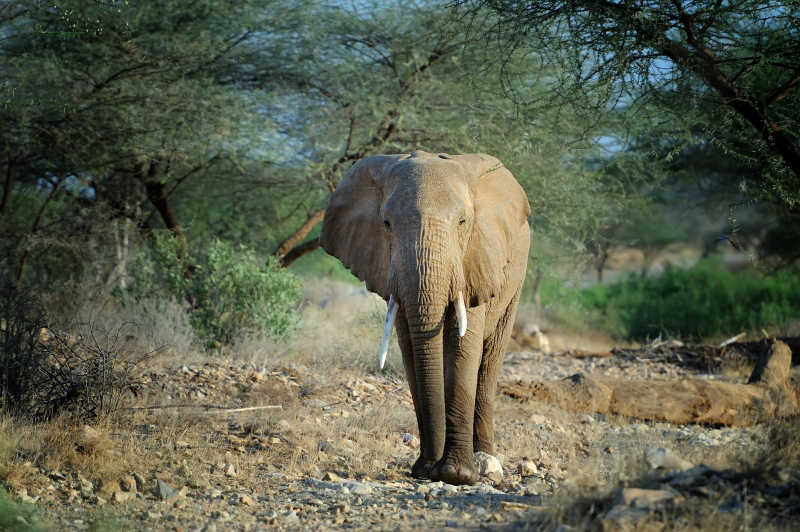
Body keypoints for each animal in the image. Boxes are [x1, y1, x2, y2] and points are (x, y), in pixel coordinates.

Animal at [318, 150, 532, 486]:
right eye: (386, 223)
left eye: (463, 222)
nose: (431, 468)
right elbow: (410, 349)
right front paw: (426, 470)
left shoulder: (475, 259)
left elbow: (464, 348)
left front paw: (457, 475)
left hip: (515, 279)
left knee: (489, 363)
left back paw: (487, 463)